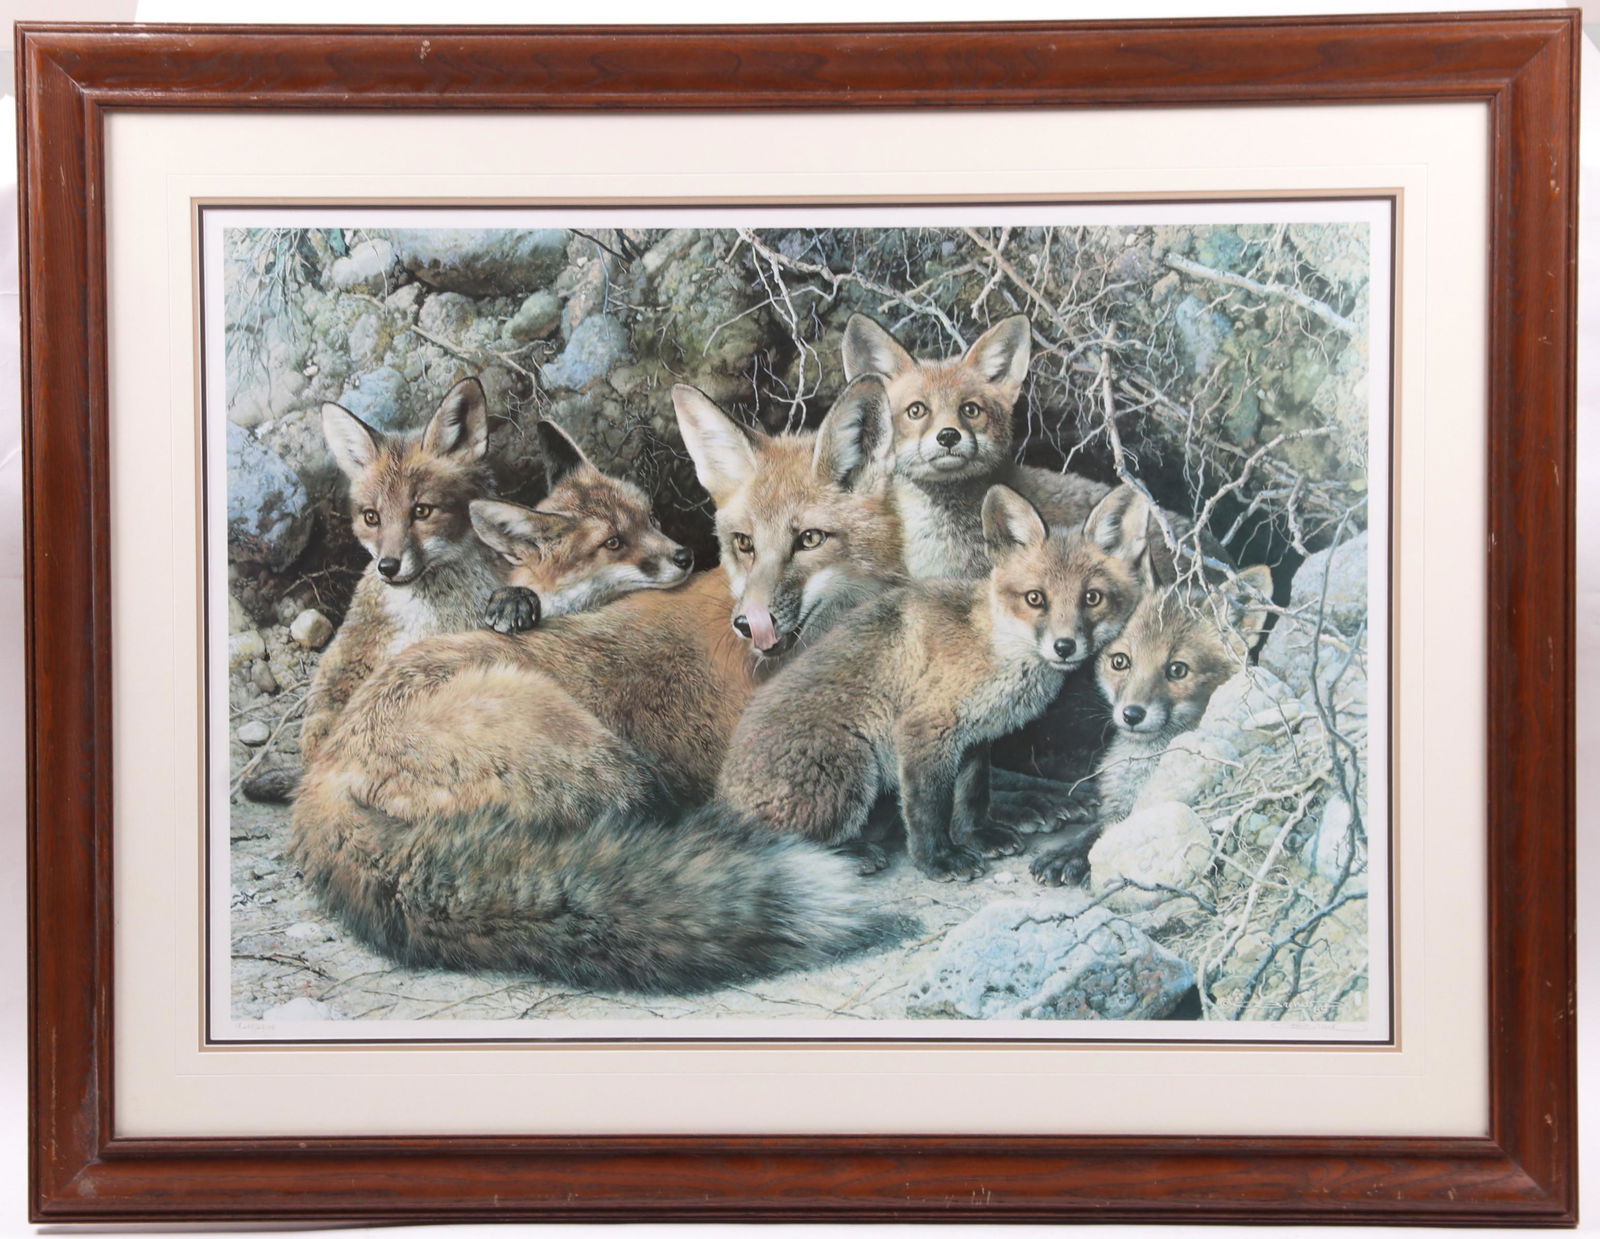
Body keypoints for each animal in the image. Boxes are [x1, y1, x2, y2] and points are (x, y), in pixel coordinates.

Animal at [717, 482, 1151, 881]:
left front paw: (978, 836)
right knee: (784, 847)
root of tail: (720, 795)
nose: (1065, 647)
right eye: (1035, 598)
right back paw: (851, 855)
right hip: (852, 771)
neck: (990, 647)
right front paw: (937, 859)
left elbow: (972, 797)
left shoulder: (973, 738)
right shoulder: (924, 730)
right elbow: (929, 809)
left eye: (1092, 598)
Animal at [1030, 564, 1274, 886]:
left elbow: (1105, 836)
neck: (1144, 764)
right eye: (1120, 661)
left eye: (1177, 669)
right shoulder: (1118, 805)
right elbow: (1098, 829)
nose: (1132, 714)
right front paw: (1069, 850)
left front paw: (1071, 858)